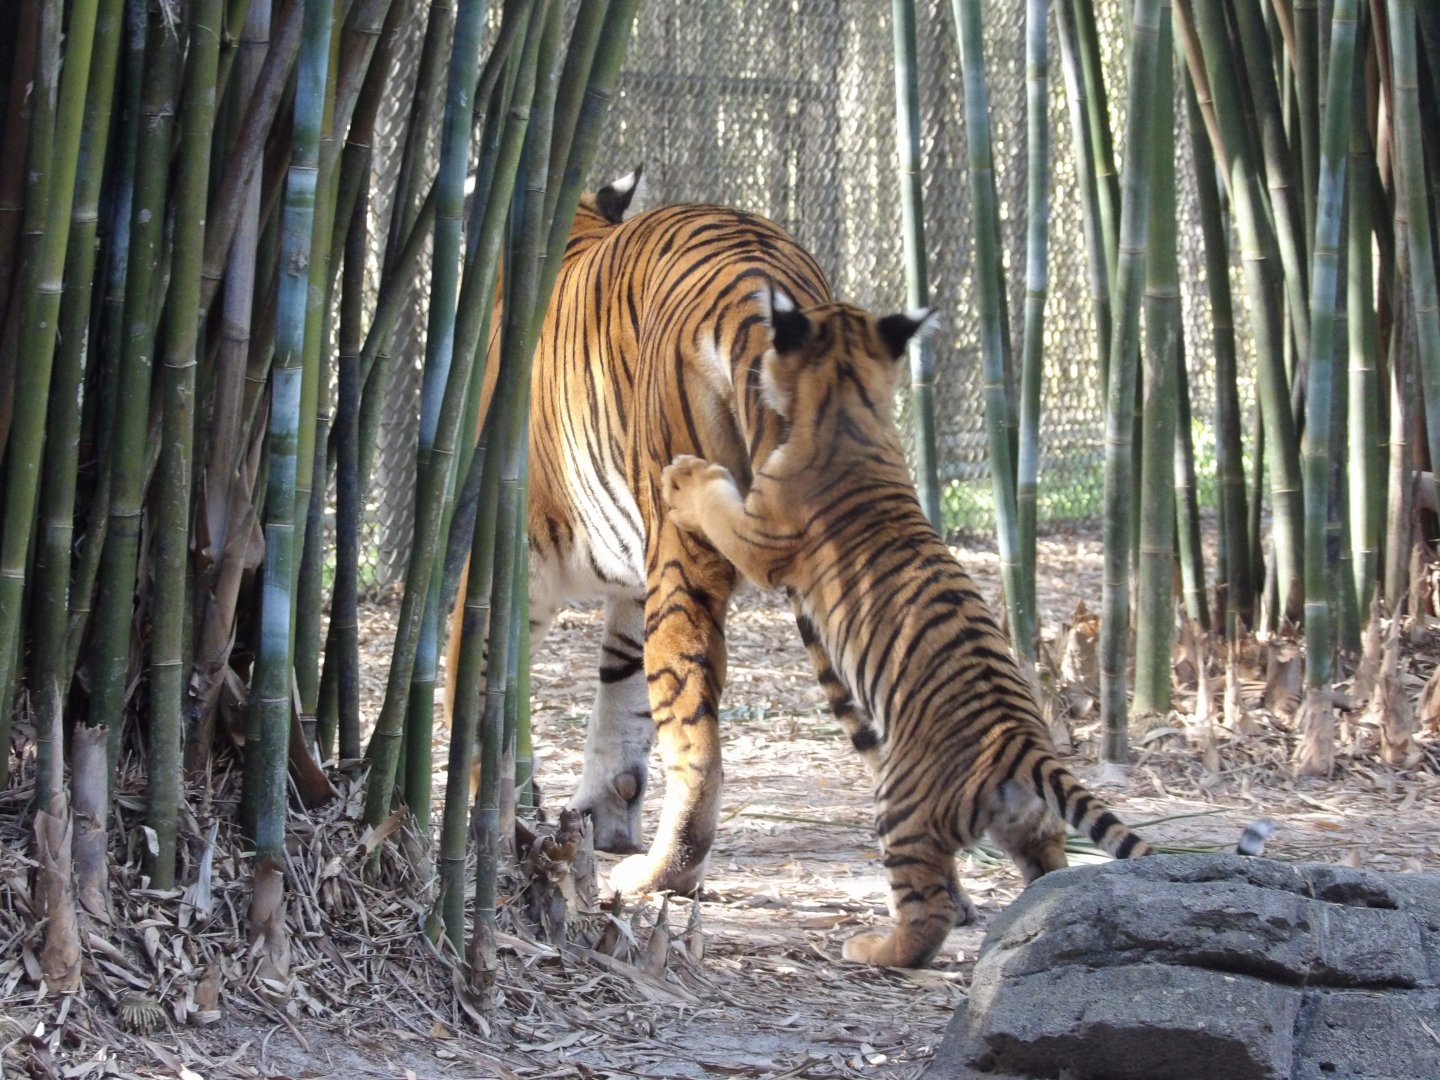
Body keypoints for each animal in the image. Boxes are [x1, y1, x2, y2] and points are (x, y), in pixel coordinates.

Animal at [448, 169, 852, 896]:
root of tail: (760, 267)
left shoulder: (500, 556)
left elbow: (475, 691)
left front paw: (477, 825)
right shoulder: (629, 583)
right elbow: (622, 690)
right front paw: (598, 814)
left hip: (683, 539)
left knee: (695, 730)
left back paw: (662, 871)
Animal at [659, 287, 1152, 968]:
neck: (848, 400)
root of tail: (1021, 741)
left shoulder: (760, 536)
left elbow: (715, 501)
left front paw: (683, 476)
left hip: (900, 804)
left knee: (928, 913)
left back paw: (872, 948)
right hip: (1028, 823)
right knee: (1046, 865)